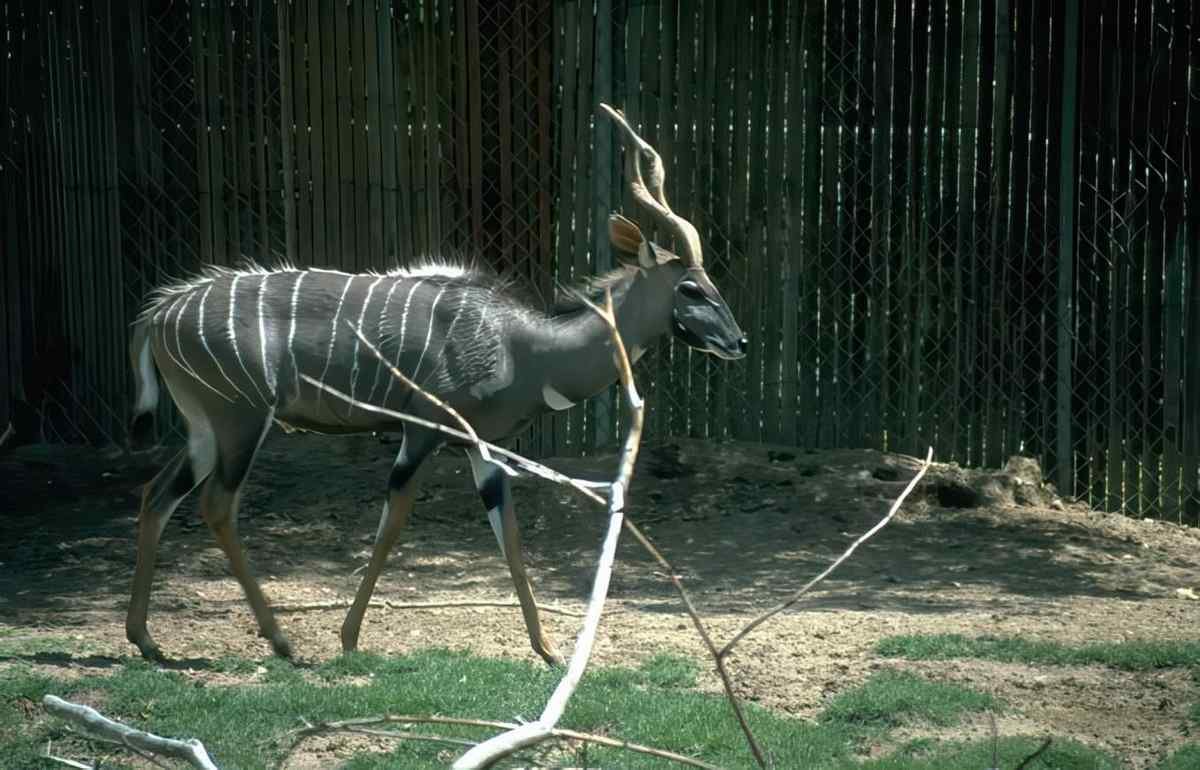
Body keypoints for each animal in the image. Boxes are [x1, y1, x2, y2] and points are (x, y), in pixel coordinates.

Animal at [125, 104, 747, 666]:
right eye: (691, 288)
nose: (738, 341)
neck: (522, 345)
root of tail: (158, 315)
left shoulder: (482, 446)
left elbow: (509, 535)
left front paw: (548, 652)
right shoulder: (422, 432)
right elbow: (392, 524)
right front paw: (348, 639)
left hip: (206, 427)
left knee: (156, 493)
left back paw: (146, 640)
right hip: (241, 419)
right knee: (216, 504)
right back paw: (282, 643)